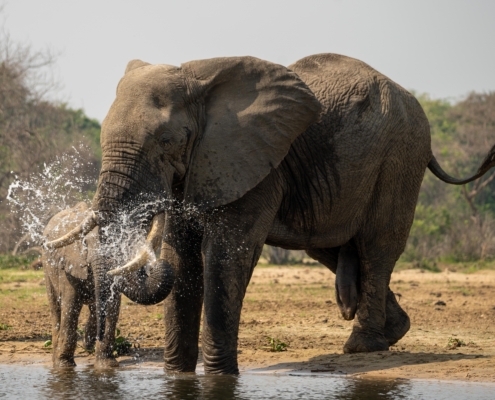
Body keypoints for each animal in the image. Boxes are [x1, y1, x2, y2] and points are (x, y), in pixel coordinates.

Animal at [42, 202, 101, 368]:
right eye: (85, 243)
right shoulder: (68, 264)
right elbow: (71, 303)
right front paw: (65, 366)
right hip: (47, 268)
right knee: (55, 308)